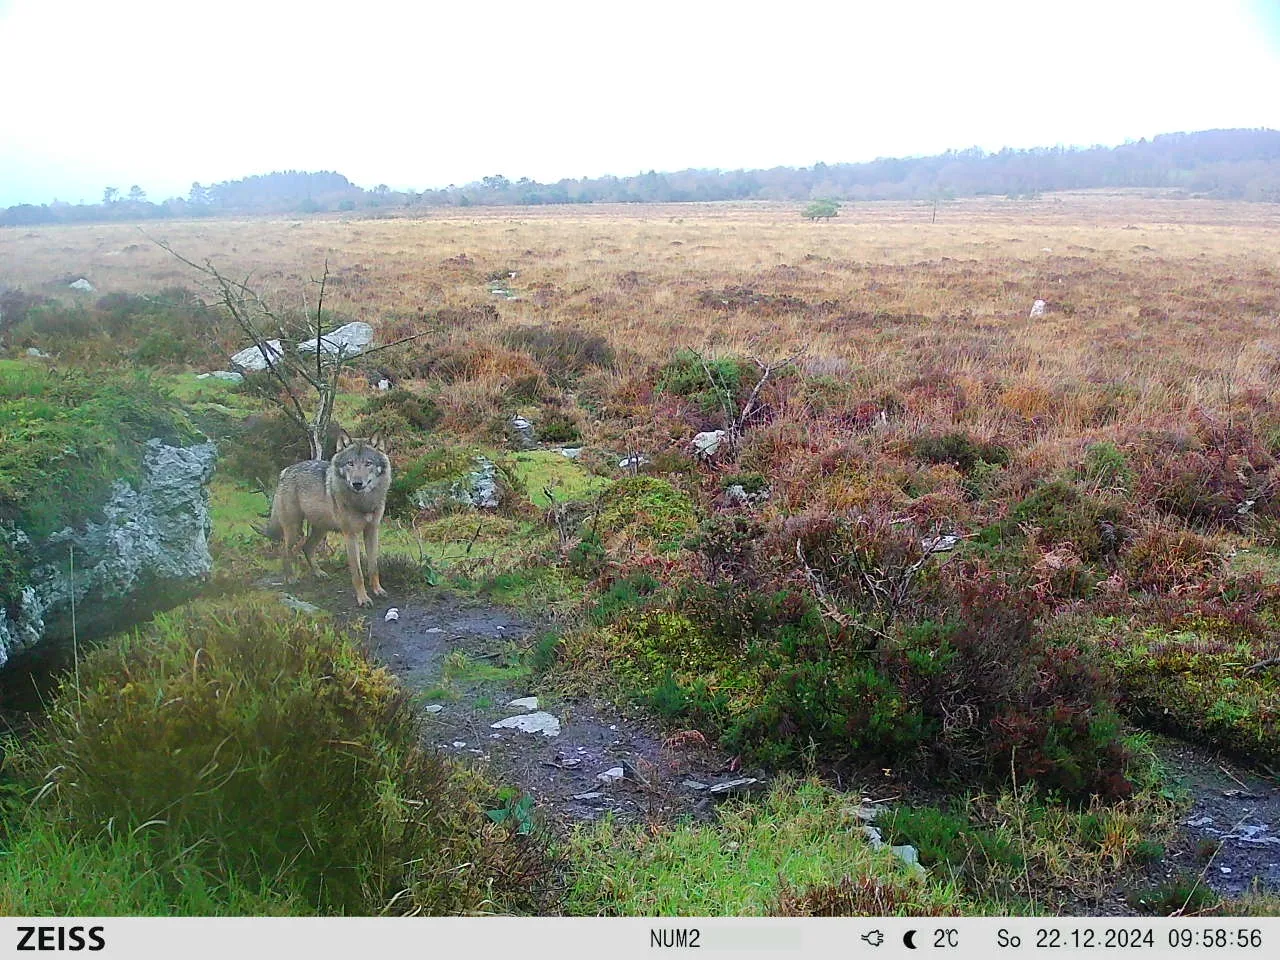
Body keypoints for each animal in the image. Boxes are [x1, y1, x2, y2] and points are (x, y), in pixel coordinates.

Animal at [257, 430, 392, 607]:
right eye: (350, 463)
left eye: (368, 463)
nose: (357, 483)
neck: (363, 502)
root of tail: (286, 470)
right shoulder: (350, 535)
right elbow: (357, 573)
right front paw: (363, 599)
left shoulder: (372, 531)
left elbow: (373, 567)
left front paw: (378, 590)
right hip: (294, 530)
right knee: (285, 551)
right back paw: (291, 578)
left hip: (320, 529)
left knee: (307, 548)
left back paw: (319, 573)